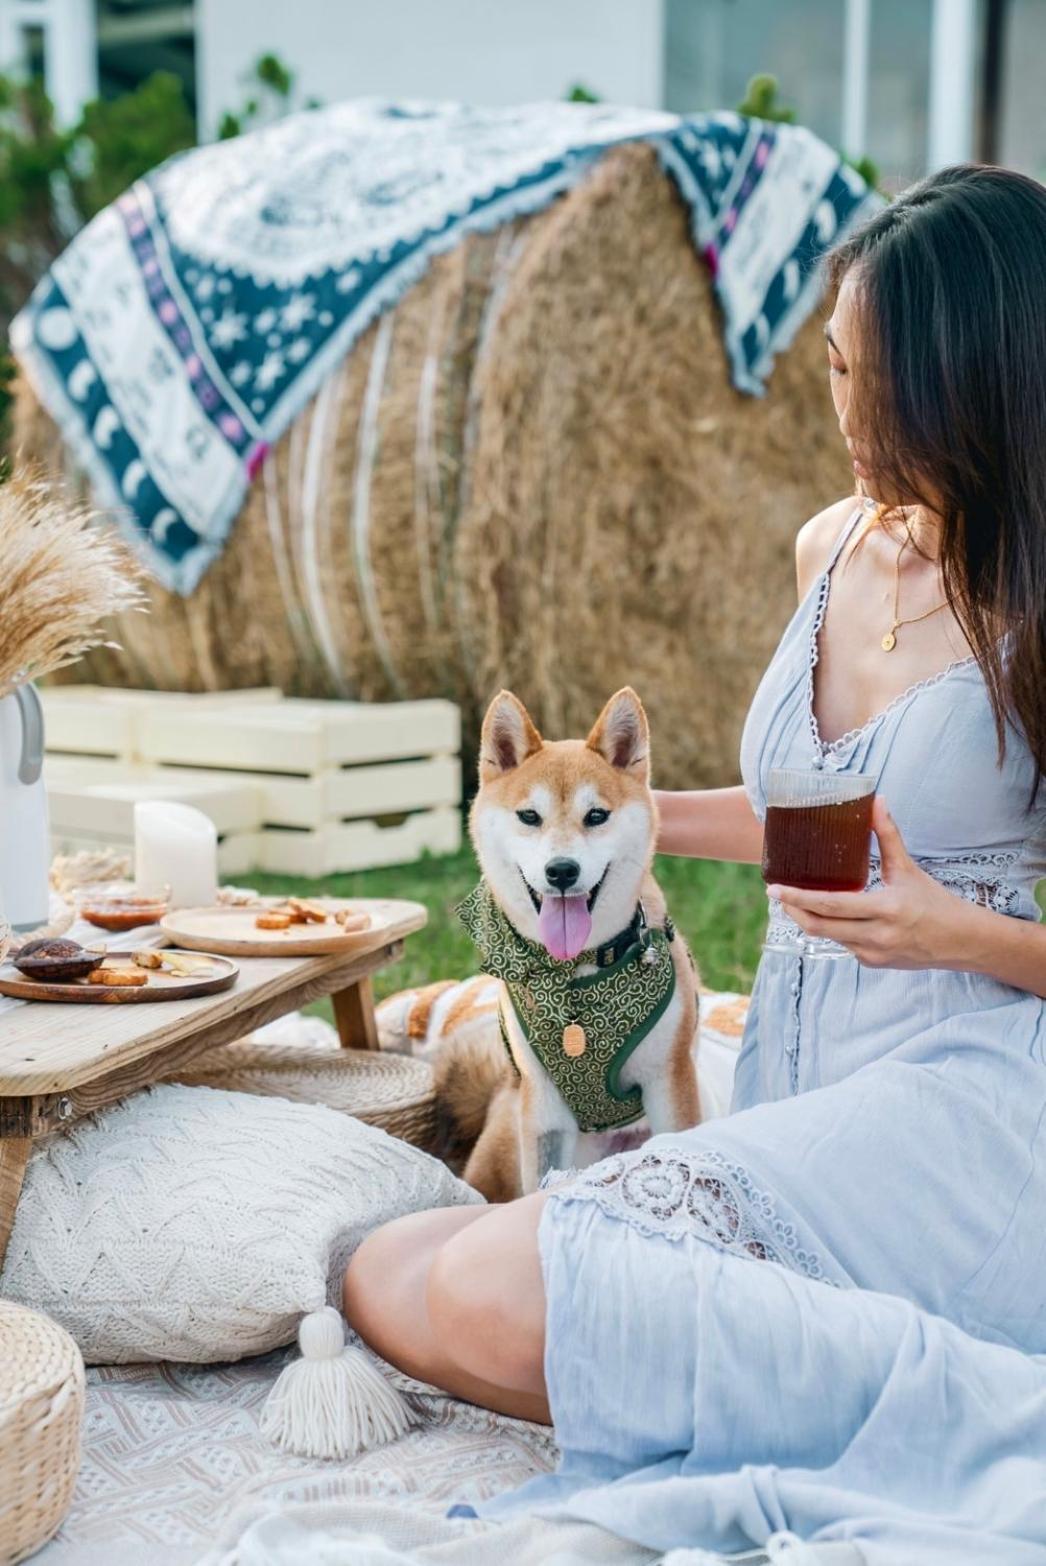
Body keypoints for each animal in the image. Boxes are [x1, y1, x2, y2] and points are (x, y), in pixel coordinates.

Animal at [425, 685, 701, 1196]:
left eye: (596, 815)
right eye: (529, 816)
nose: (561, 871)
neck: (575, 973)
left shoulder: (670, 1080)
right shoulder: (544, 1107)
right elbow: (540, 1182)